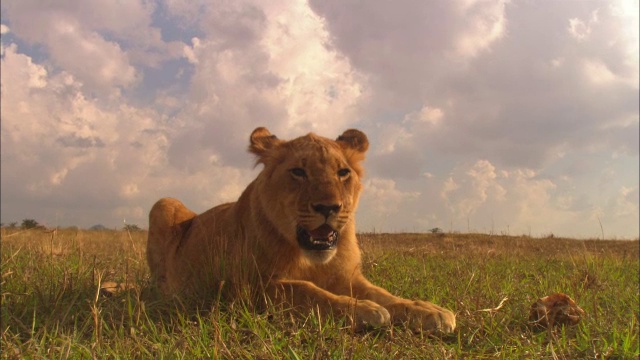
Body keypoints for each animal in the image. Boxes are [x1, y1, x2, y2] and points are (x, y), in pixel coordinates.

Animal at [146, 126, 456, 332]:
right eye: (298, 172)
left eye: (343, 172)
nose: (328, 207)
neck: (309, 257)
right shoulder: (246, 287)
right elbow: (306, 290)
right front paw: (364, 310)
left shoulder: (349, 277)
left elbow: (386, 295)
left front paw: (428, 310)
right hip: (164, 204)